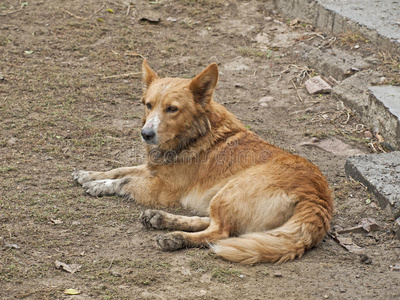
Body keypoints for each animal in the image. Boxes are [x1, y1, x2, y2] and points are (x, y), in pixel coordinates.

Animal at [71, 59, 332, 264]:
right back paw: (161, 219)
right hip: (223, 198)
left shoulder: (161, 188)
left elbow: (124, 180)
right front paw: (89, 174)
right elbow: (121, 169)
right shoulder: (152, 169)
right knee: (208, 221)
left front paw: (98, 186)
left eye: (172, 109)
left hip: (229, 192)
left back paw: (175, 238)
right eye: (148, 105)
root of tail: (317, 197)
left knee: (219, 233)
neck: (196, 133)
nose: (145, 134)